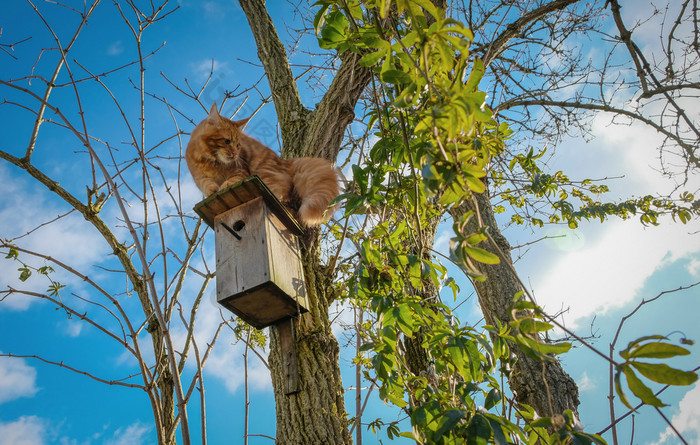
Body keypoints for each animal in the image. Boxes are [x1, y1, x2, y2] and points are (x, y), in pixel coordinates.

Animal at [186, 104, 340, 225]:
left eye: (238, 145)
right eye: (227, 141)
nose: (235, 154)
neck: (212, 162)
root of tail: (285, 161)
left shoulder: (241, 171)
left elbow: (232, 179)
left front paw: (225, 185)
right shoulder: (199, 178)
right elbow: (206, 184)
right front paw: (212, 189)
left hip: (264, 173)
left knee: (280, 193)